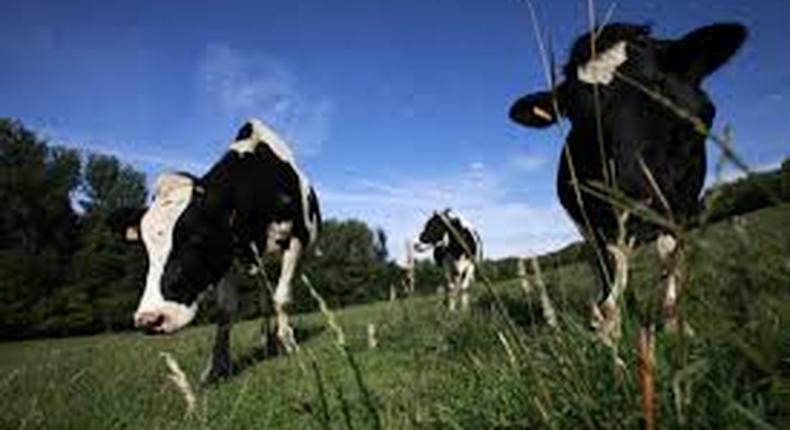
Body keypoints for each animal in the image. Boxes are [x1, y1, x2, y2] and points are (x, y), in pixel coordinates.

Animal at [118, 117, 322, 380]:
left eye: (196, 237)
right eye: (146, 247)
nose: (149, 319)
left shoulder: (294, 241)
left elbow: (283, 298)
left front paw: (289, 343)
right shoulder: (226, 257)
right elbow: (225, 312)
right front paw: (217, 367)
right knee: (264, 300)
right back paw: (266, 340)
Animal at [508, 22, 748, 340]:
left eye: (659, 87)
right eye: (574, 113)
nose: (630, 194)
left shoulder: (680, 204)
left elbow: (668, 255)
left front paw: (674, 323)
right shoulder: (599, 217)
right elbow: (613, 264)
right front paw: (608, 326)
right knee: (604, 263)